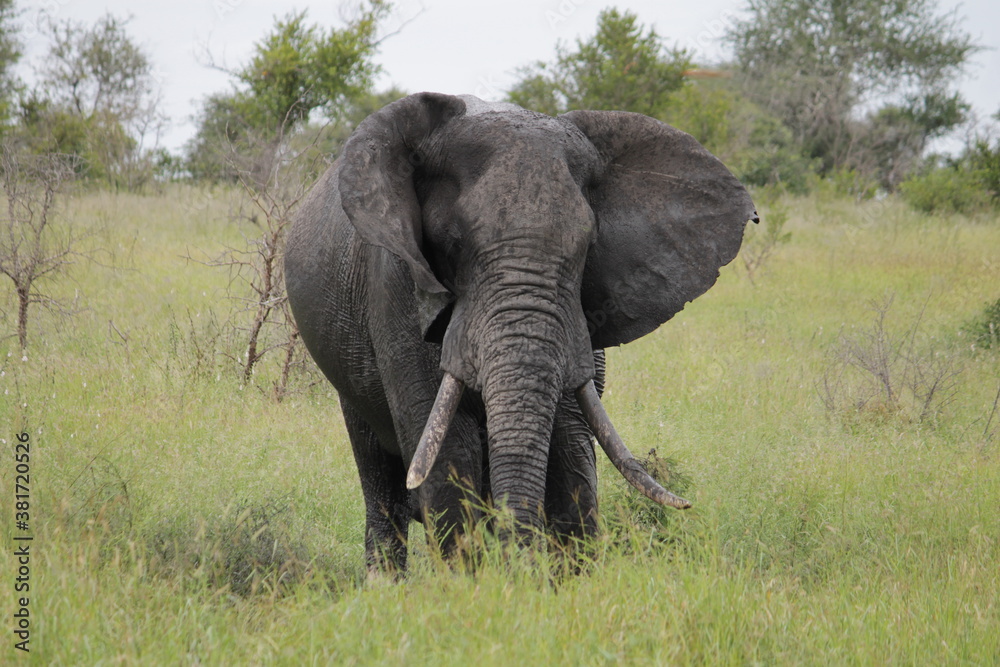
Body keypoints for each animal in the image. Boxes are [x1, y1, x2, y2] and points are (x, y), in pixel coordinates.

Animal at [284, 92, 756, 576]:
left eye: (587, 248)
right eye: (453, 243)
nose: (520, 568)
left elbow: (570, 444)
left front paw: (563, 581)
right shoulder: (397, 282)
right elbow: (444, 445)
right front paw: (471, 584)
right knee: (377, 472)